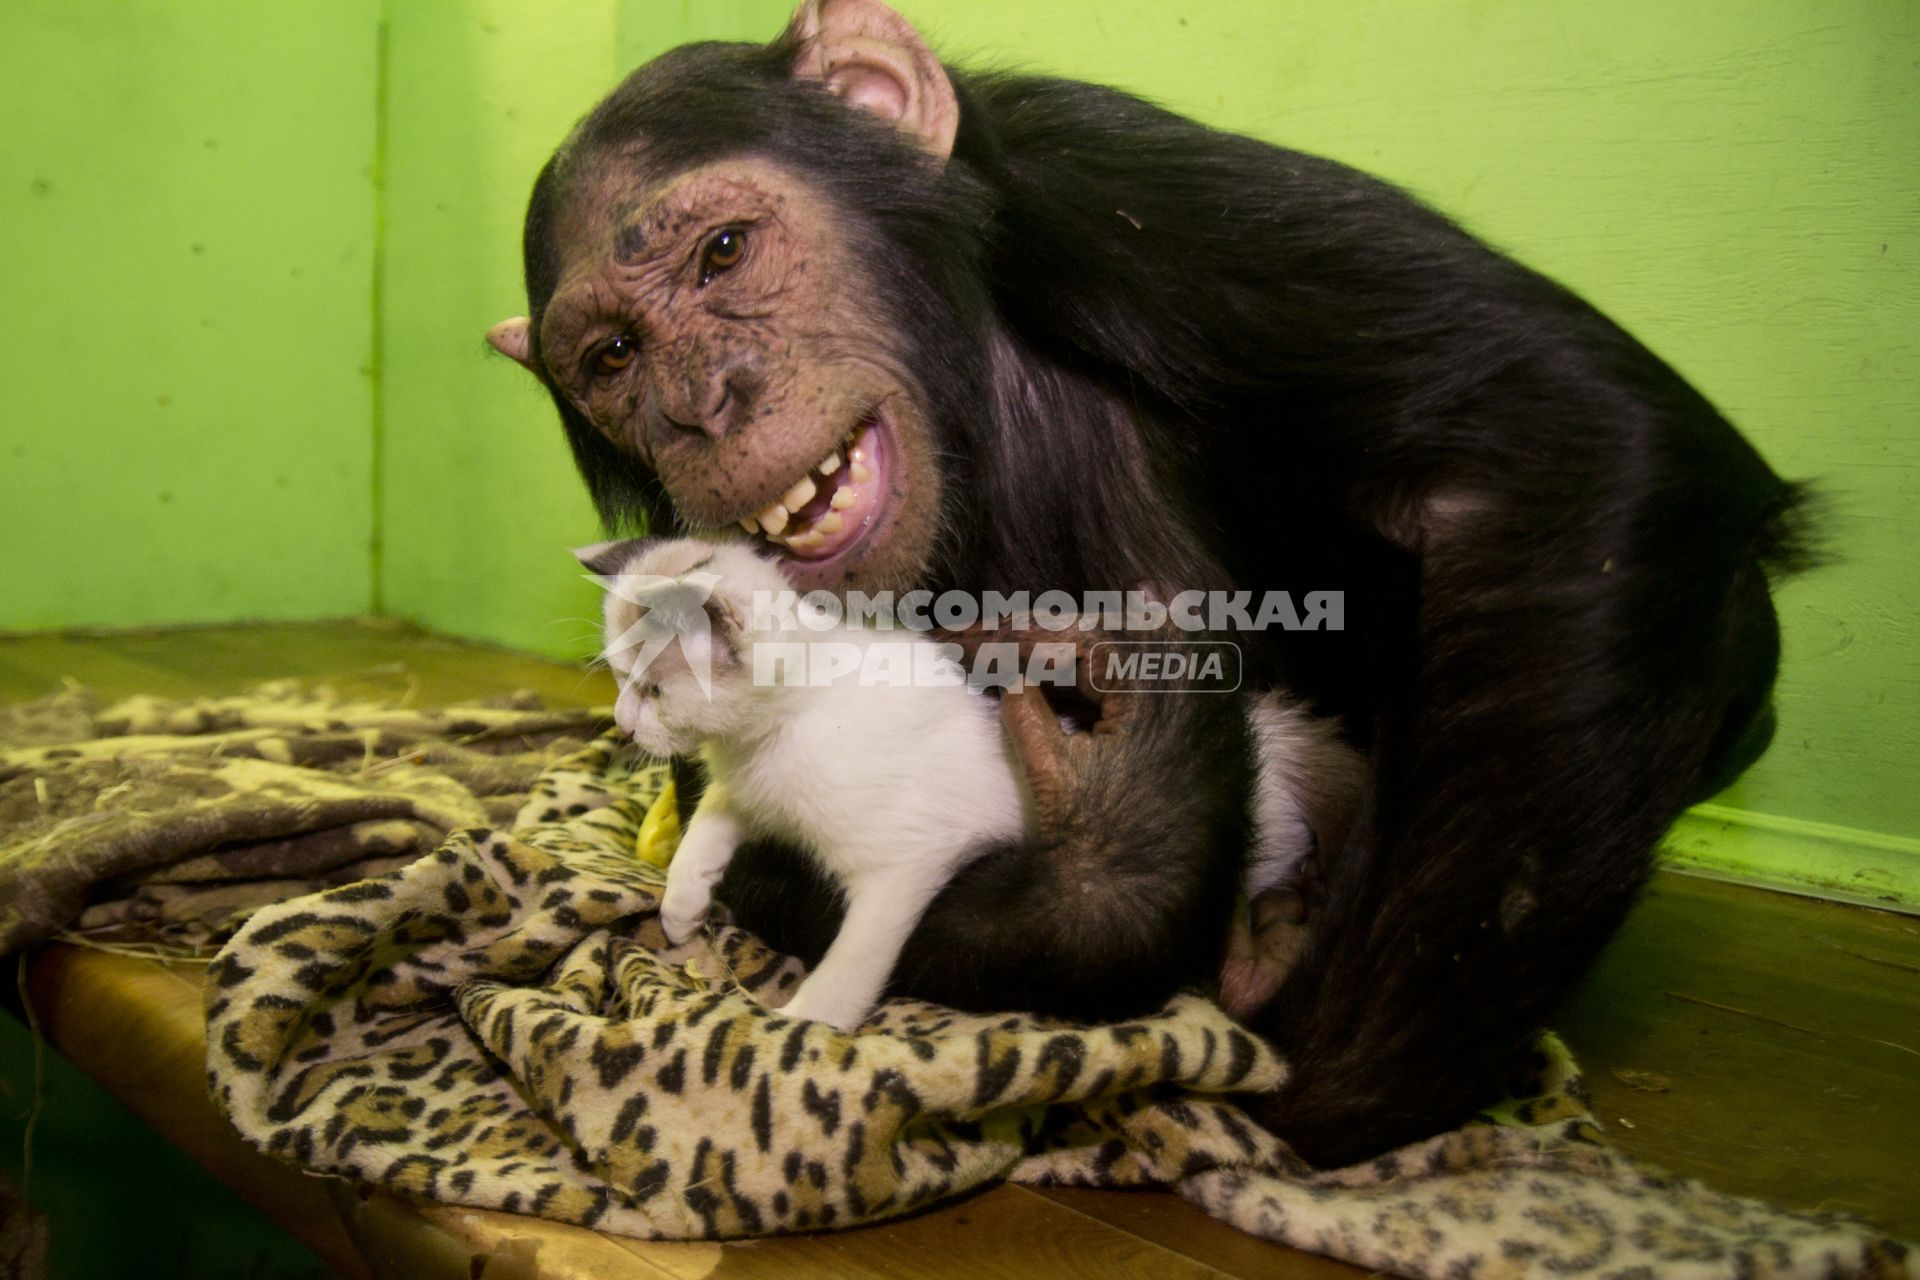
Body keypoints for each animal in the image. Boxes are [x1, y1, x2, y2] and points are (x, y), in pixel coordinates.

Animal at [487, 0, 1804, 1174]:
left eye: (723, 254)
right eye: (614, 356)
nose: (704, 403)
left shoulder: (1119, 176)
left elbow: (1562, 443)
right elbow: (716, 816)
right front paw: (687, 889)